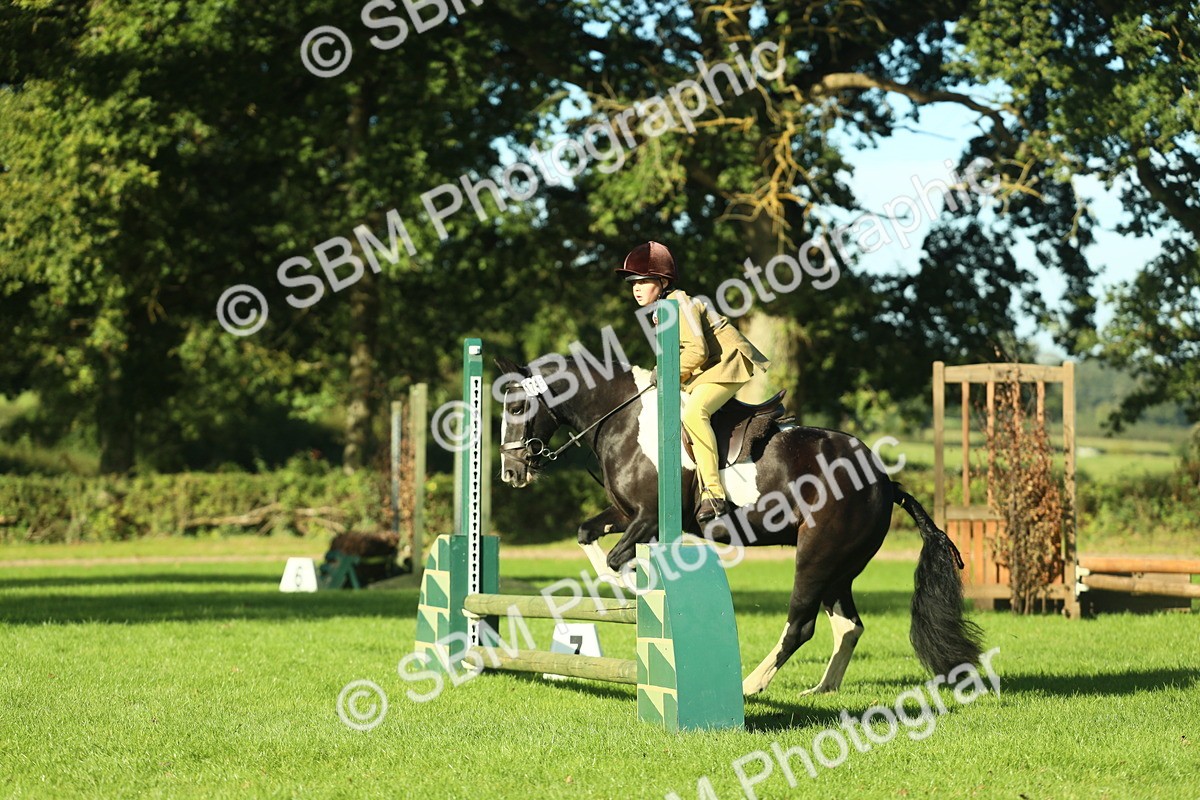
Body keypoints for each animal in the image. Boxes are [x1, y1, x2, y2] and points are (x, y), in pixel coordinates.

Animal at [494, 355, 983, 697]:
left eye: (517, 406)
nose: (511, 473)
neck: (625, 421)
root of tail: (883, 479)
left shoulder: (648, 519)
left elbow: (617, 559)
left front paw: (636, 590)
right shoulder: (626, 514)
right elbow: (586, 534)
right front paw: (616, 592)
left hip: (817, 556)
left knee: (800, 625)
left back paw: (751, 685)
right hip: (841, 566)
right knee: (849, 625)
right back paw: (822, 688)